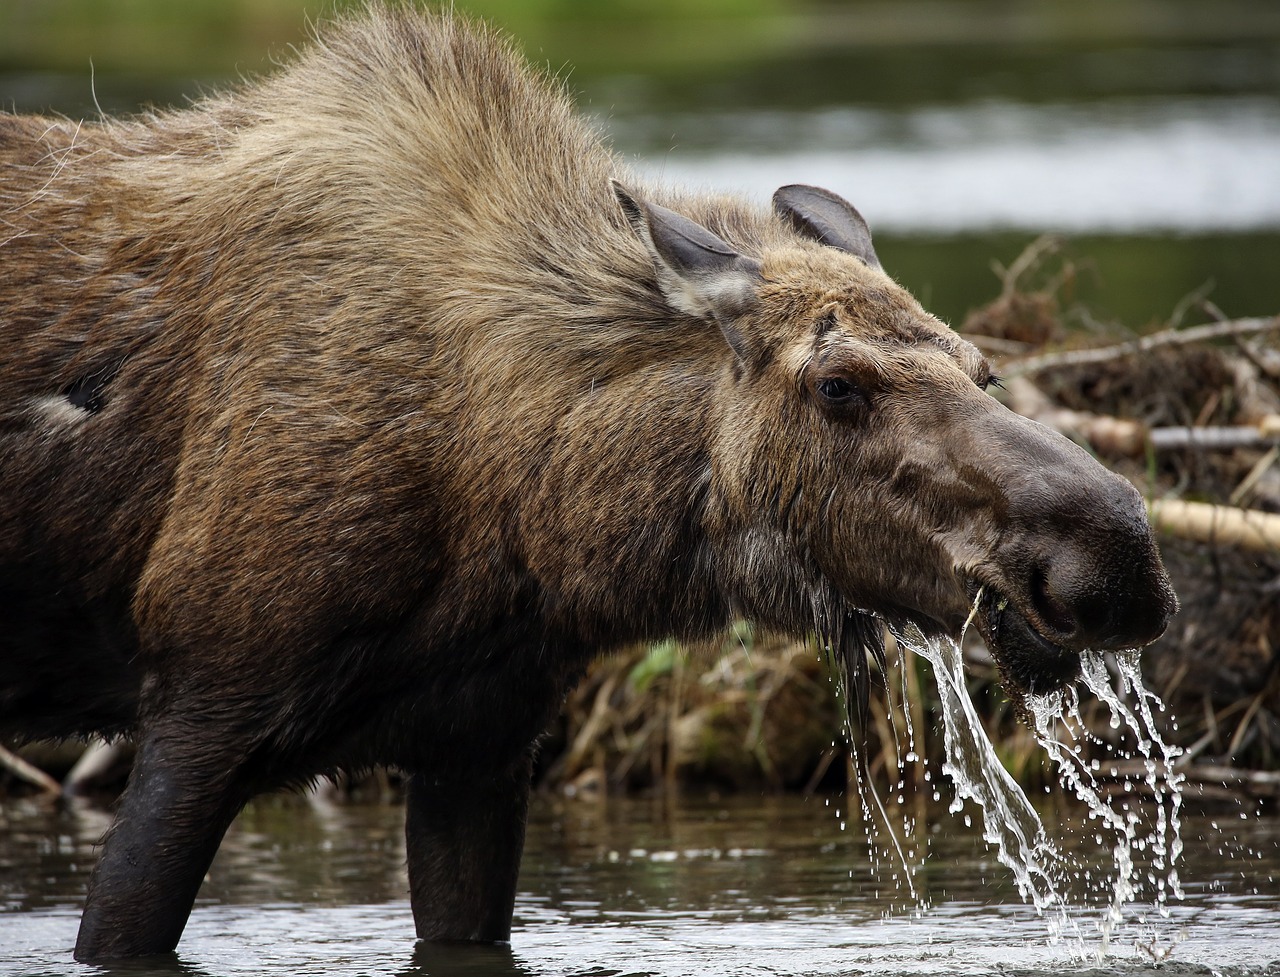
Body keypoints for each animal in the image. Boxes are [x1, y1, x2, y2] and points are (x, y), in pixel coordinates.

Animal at [0, 0, 1172, 962]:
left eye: (981, 366)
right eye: (837, 384)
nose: (1113, 561)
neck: (526, 518)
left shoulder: (480, 740)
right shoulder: (201, 699)